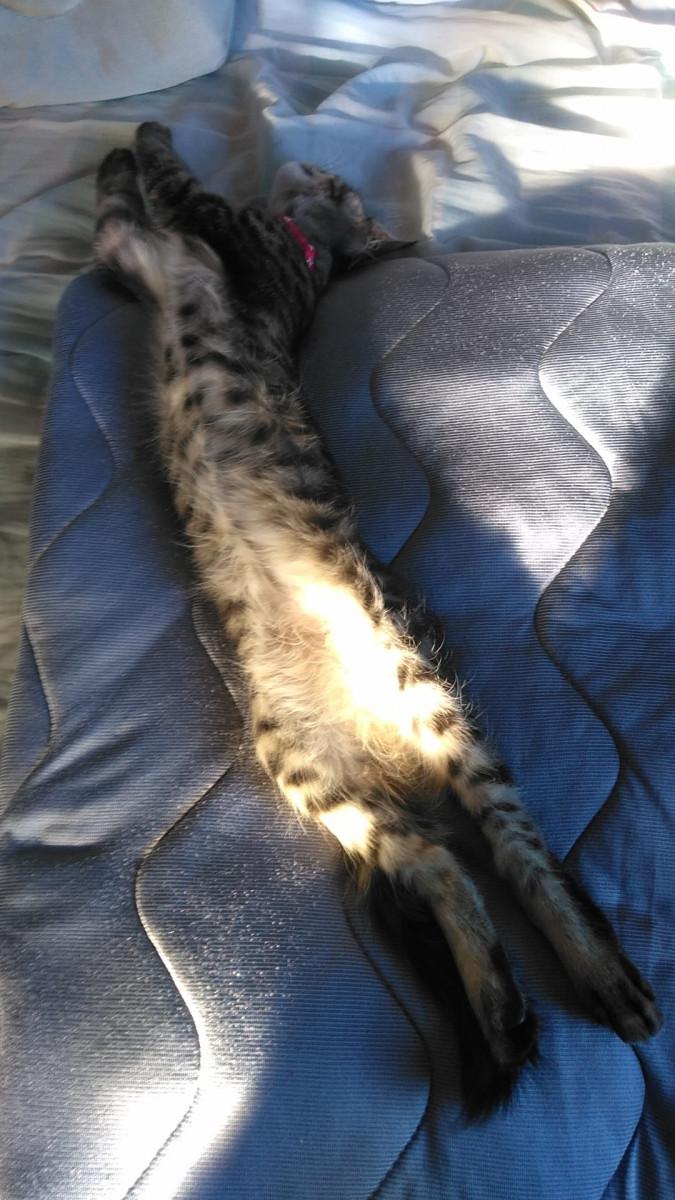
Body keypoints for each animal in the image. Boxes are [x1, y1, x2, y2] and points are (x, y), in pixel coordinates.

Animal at [94, 122, 662, 1117]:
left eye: (337, 186)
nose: (317, 165)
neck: (305, 256)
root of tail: (370, 727)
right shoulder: (130, 249)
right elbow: (112, 212)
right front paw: (114, 162)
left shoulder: (215, 230)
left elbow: (171, 181)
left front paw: (145, 139)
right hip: (305, 769)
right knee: (440, 864)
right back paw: (499, 1011)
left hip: (423, 692)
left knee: (512, 850)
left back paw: (590, 976)